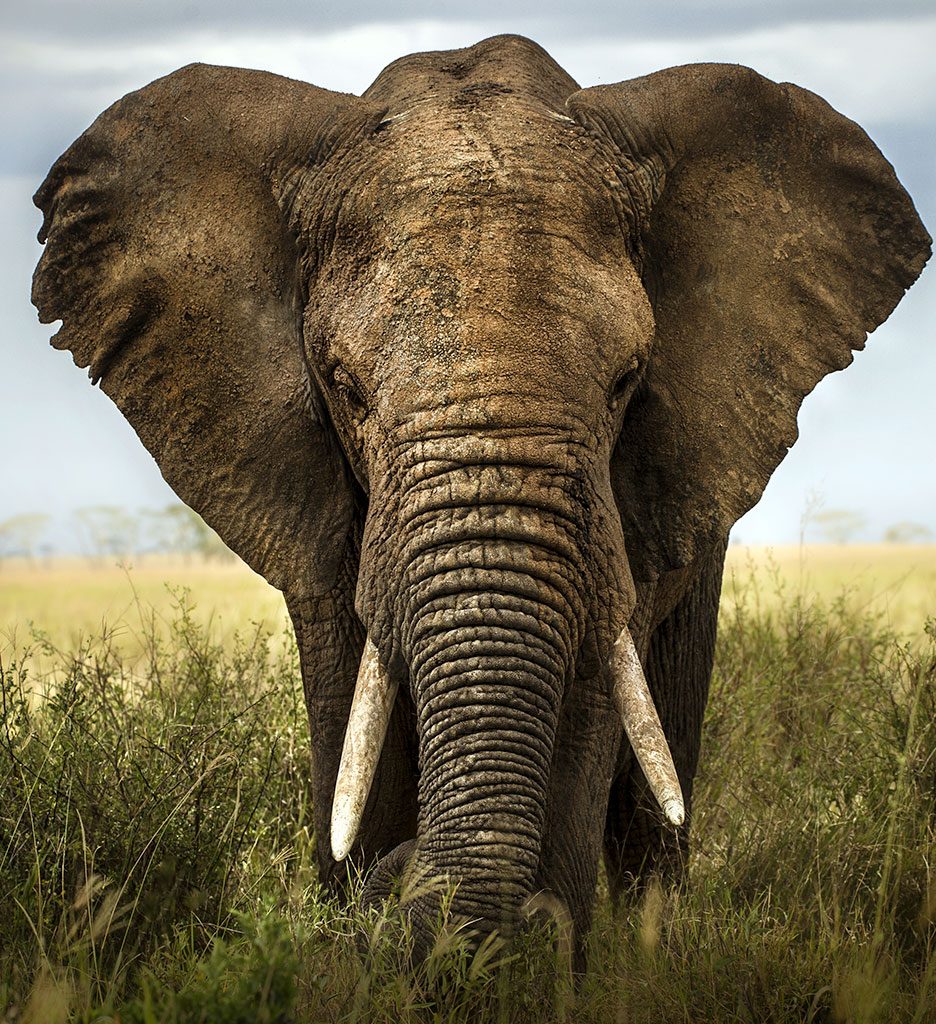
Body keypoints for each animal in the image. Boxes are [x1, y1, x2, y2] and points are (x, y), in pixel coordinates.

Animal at [32, 34, 929, 968]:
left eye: (626, 381)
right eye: (345, 388)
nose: (402, 877)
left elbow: (591, 694)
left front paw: (531, 959)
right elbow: (351, 706)